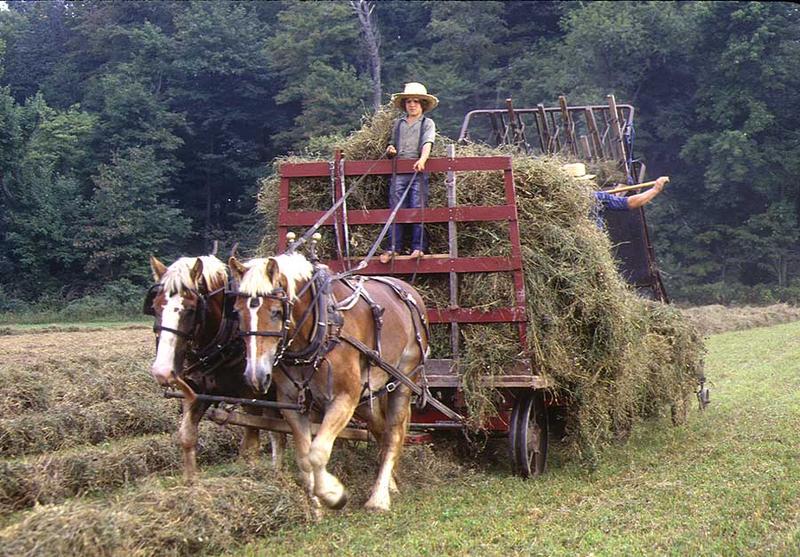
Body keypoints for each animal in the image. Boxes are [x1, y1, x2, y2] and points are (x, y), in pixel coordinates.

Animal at [147, 255, 284, 478]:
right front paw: (191, 482)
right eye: (156, 306)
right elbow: (187, 437)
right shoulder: (197, 392)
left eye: (191, 309)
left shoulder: (252, 398)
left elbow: (249, 448)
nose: (162, 372)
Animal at [230, 253, 432, 512]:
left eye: (275, 311)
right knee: (380, 428)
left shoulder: (344, 398)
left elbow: (317, 453)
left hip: (403, 381)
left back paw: (378, 498)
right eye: (237, 312)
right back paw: (390, 483)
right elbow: (304, 457)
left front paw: (333, 494)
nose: (255, 376)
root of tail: (409, 291)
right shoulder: (292, 403)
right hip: (367, 396)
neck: (320, 328)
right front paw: (316, 505)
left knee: (394, 433)